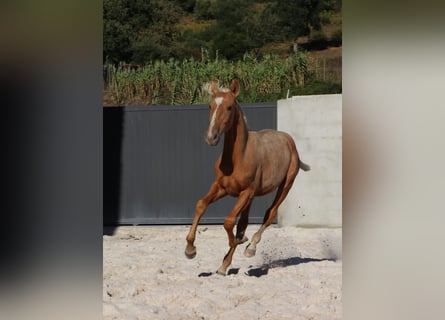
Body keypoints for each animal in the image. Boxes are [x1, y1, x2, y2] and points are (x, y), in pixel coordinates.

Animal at [184, 78, 308, 276]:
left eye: (229, 107)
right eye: (210, 105)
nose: (211, 137)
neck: (238, 157)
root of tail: (289, 141)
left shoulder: (245, 192)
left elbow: (228, 221)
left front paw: (239, 241)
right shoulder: (221, 187)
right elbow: (201, 205)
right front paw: (190, 250)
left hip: (285, 185)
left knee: (269, 214)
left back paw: (250, 247)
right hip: (251, 196)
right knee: (243, 222)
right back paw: (225, 263)